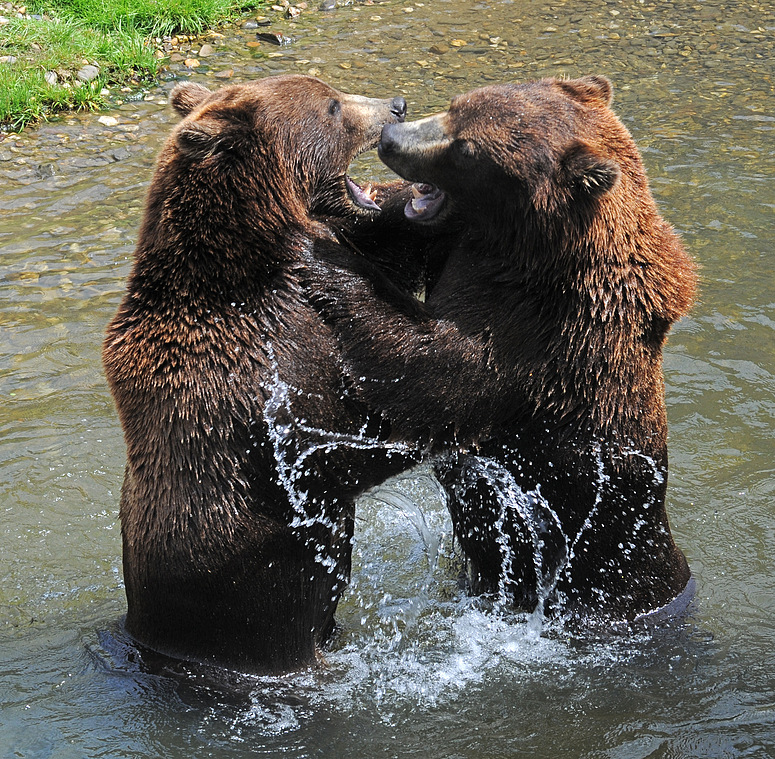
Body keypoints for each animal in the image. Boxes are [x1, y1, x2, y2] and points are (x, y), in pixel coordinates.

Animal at [102, 74, 428, 672]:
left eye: (331, 90)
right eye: (332, 106)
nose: (395, 105)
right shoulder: (250, 370)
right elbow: (328, 445)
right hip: (249, 619)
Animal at [308, 74, 696, 628]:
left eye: (468, 150)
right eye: (456, 106)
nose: (390, 139)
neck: (522, 255)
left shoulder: (539, 344)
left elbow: (431, 374)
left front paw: (323, 262)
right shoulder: (458, 252)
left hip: (607, 577)